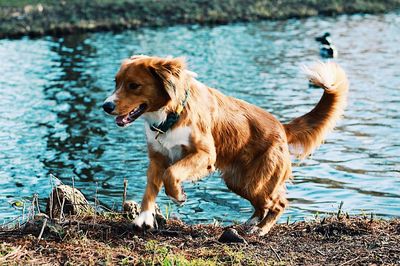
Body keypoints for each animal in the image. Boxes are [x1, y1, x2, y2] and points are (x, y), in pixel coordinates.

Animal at [102, 55, 346, 235]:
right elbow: (150, 188)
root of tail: (281, 127)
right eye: (116, 82)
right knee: (262, 204)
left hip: (256, 180)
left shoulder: (204, 155)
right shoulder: (157, 158)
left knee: (279, 203)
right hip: (238, 181)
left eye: (134, 85)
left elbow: (171, 174)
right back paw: (251, 223)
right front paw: (143, 217)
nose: (106, 106)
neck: (170, 115)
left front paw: (178, 195)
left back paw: (261, 229)